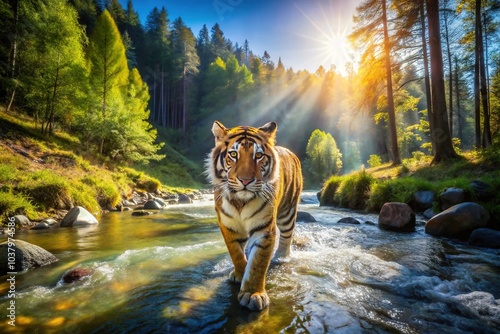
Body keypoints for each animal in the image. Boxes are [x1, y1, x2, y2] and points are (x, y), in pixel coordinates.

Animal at [206, 120, 302, 310]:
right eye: (233, 154)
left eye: (258, 156)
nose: (245, 180)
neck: (240, 201)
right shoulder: (229, 226)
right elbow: (236, 254)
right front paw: (240, 273)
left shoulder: (264, 228)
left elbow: (258, 262)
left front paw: (253, 294)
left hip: (288, 213)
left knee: (287, 236)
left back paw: (282, 257)